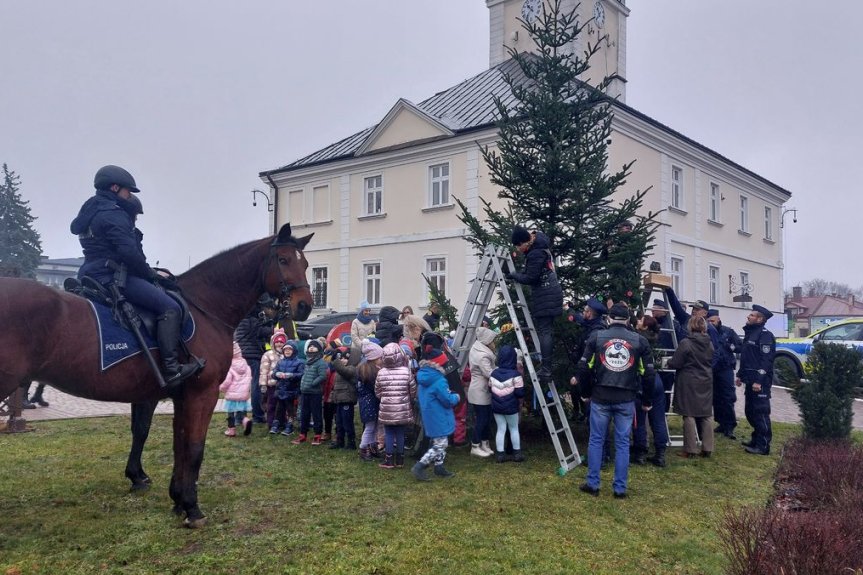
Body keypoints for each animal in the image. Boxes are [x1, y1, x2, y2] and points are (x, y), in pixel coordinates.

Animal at [0, 224, 316, 528]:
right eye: (284, 260)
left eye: (305, 263)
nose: (304, 305)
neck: (204, 307)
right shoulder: (201, 394)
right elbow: (193, 447)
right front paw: (191, 506)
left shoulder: (177, 396)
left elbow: (176, 443)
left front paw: (176, 499)